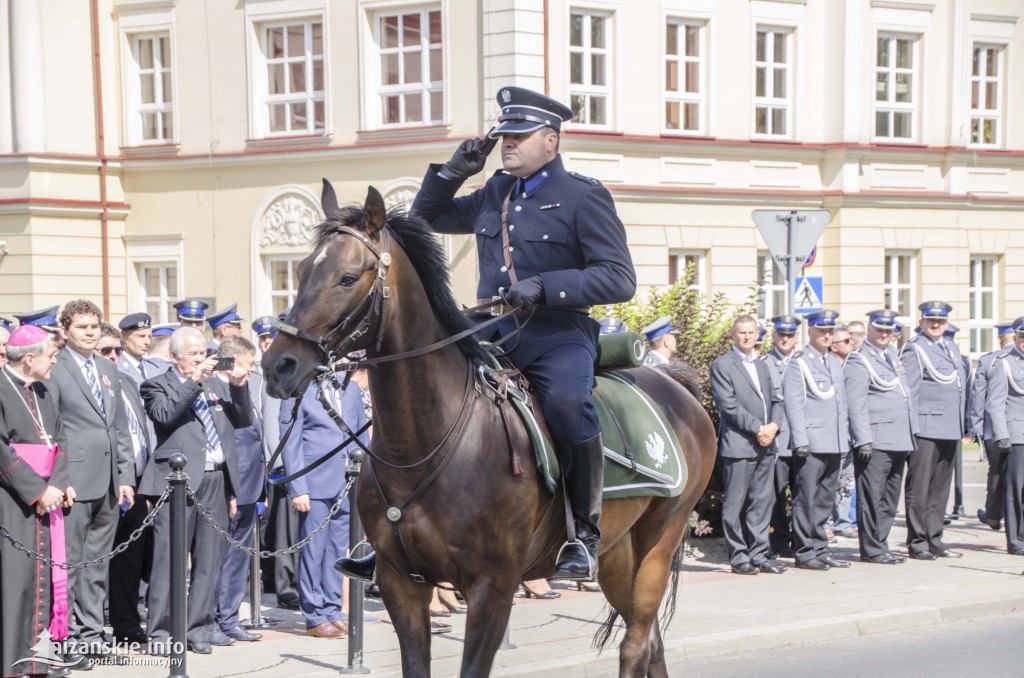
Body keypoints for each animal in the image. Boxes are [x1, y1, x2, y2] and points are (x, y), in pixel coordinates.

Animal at [262, 182, 712, 678]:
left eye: (346, 277)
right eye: (300, 270)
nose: (278, 366)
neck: (422, 447)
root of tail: (676, 384)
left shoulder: (491, 587)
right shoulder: (402, 584)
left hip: (657, 545)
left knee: (636, 643)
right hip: (617, 552)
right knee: (650, 641)